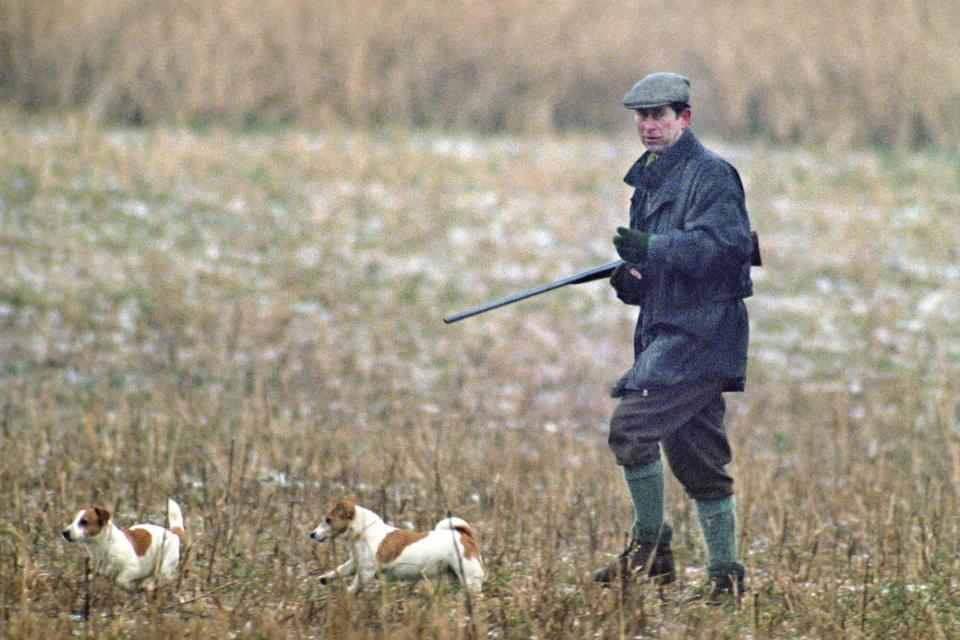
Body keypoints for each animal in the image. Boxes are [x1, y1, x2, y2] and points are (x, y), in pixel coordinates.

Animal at [310, 496, 484, 596]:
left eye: (328, 520)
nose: (311, 534)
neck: (365, 531)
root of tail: (465, 535)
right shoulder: (354, 563)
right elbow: (340, 570)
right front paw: (325, 578)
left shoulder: (365, 573)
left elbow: (354, 586)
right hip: (455, 577)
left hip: (470, 580)